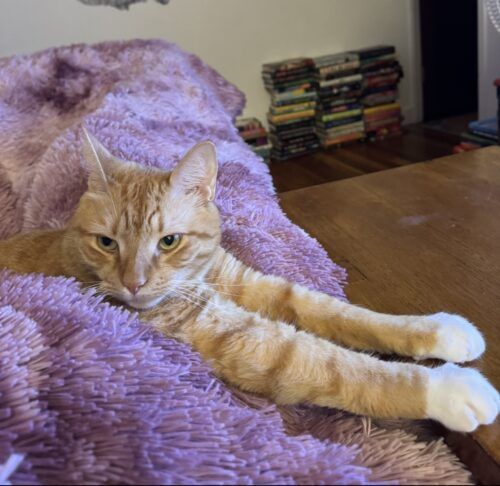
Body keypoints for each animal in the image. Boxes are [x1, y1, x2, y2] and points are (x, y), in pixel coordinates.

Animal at [0, 130, 498, 432]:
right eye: (106, 243)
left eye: (169, 241)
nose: (134, 284)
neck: (197, 279)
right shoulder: (242, 339)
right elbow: (338, 365)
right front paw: (449, 389)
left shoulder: (251, 283)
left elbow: (340, 313)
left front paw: (441, 329)